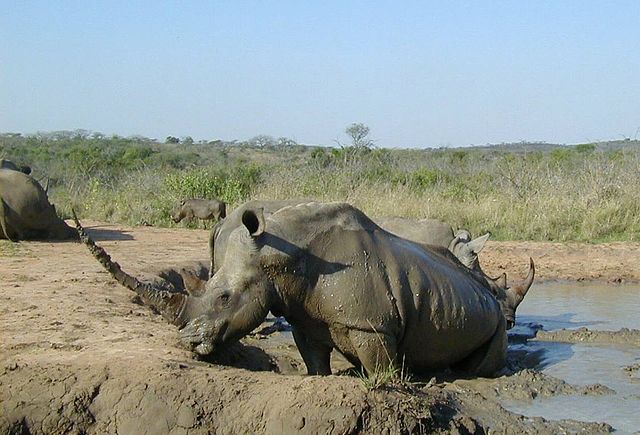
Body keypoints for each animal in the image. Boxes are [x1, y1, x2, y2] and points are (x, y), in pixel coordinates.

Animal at [76, 202, 534, 377]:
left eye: (224, 298)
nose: (188, 342)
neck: (279, 256)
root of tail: (487, 296)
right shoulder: (304, 317)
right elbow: (315, 362)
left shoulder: (372, 326)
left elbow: (382, 372)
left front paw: (389, 382)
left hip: (488, 317)